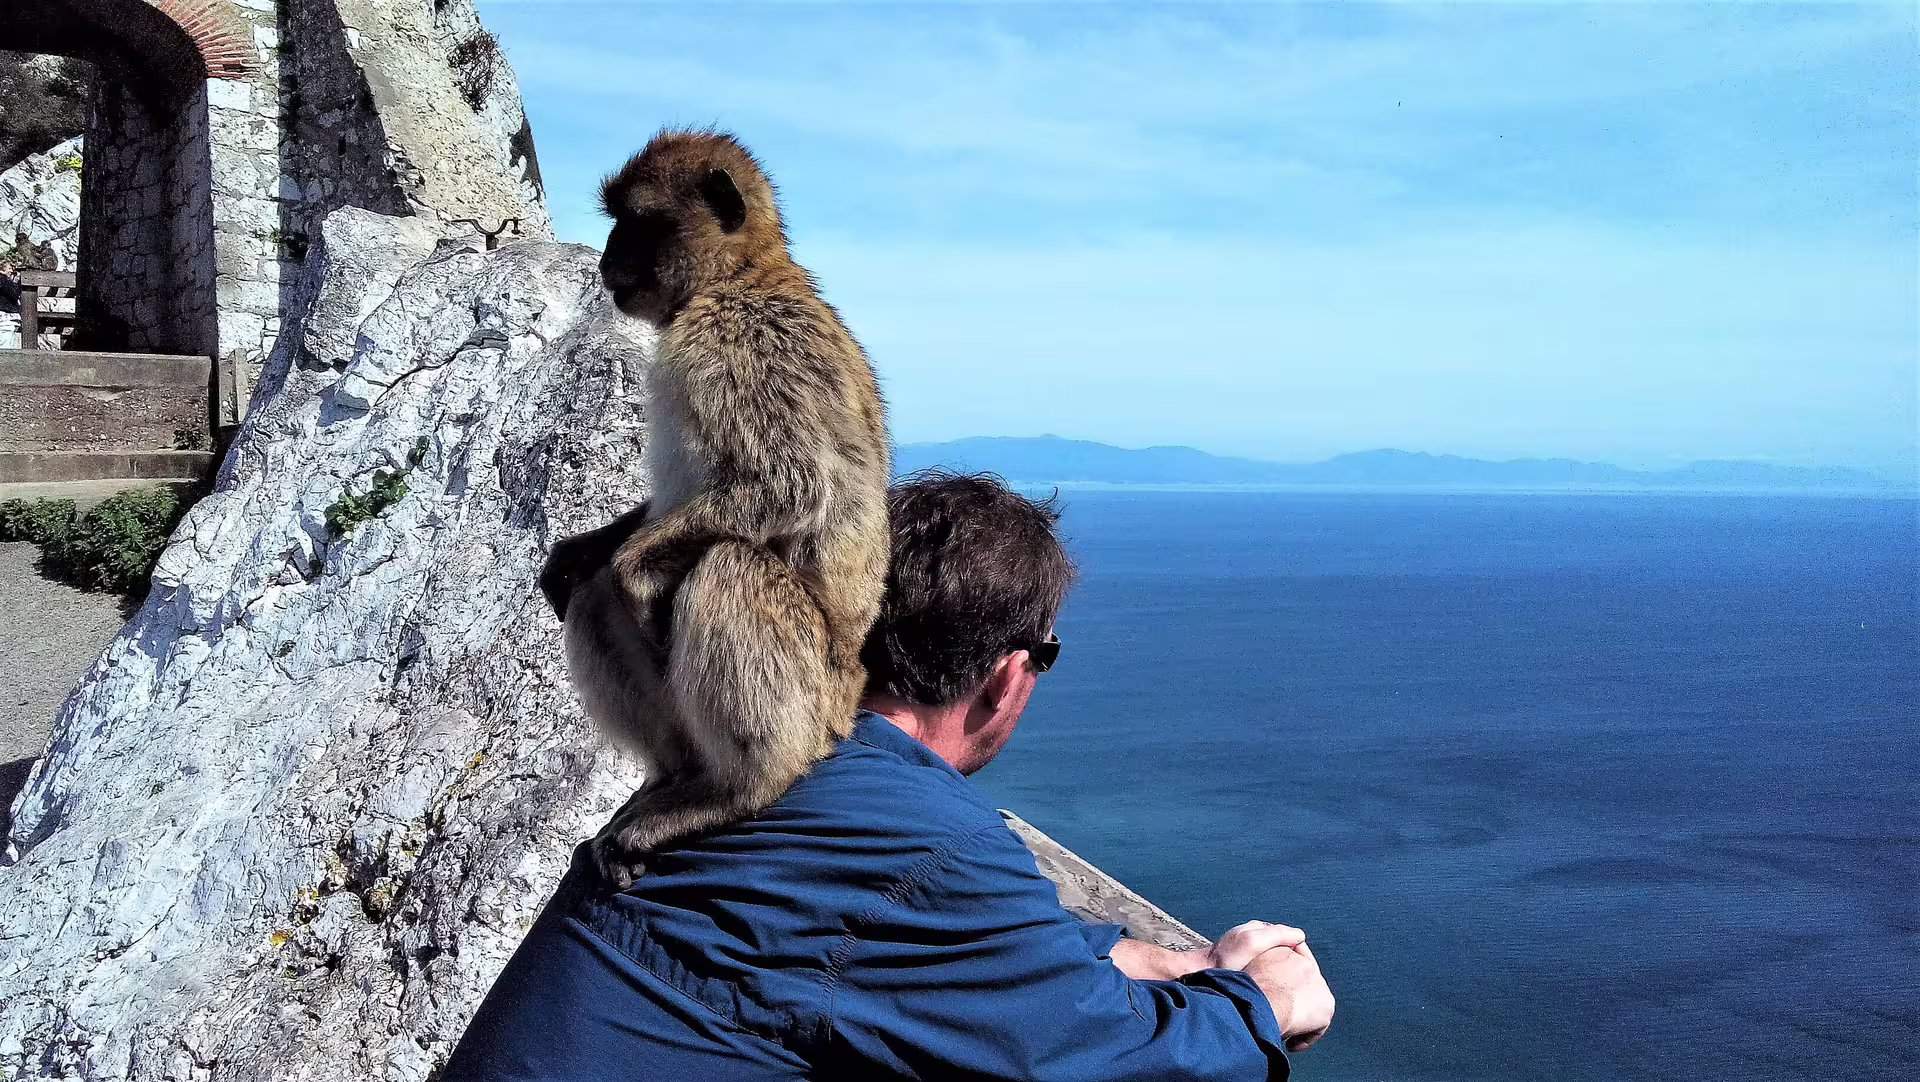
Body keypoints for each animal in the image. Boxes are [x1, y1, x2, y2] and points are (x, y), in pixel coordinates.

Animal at [541, 129, 891, 890]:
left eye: (638, 222)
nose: (607, 260)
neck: (740, 275)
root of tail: (850, 694)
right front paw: (577, 552)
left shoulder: (739, 341)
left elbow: (791, 485)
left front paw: (631, 570)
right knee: (596, 596)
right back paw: (675, 777)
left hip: (812, 693)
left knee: (730, 567)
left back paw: (738, 790)